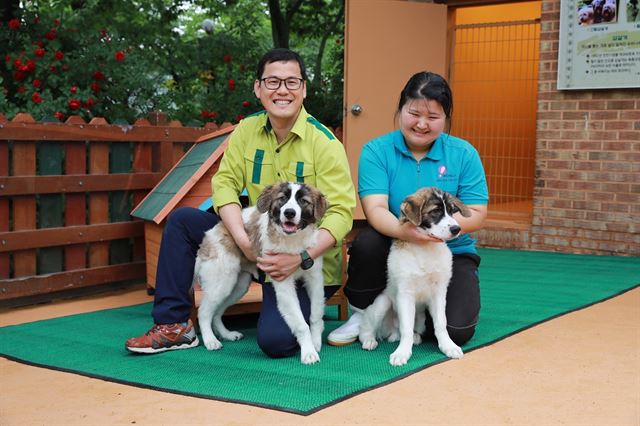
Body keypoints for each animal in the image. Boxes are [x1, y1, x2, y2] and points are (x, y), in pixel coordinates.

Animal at [192, 181, 328, 364]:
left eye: (303, 201)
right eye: (282, 198)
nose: (289, 213)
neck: (293, 241)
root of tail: (208, 238)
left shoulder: (315, 279)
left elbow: (315, 315)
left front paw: (315, 342)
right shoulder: (283, 283)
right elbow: (301, 324)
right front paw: (308, 352)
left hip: (237, 286)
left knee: (217, 313)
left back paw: (227, 334)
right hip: (220, 283)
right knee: (204, 312)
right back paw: (210, 340)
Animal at [360, 187, 470, 366]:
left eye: (452, 211)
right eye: (435, 211)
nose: (456, 229)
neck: (426, 248)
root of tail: (392, 332)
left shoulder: (439, 292)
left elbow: (441, 323)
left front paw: (448, 346)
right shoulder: (405, 294)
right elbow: (406, 329)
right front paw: (402, 353)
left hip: (420, 318)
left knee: (410, 330)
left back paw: (416, 338)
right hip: (383, 303)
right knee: (368, 327)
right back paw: (369, 340)